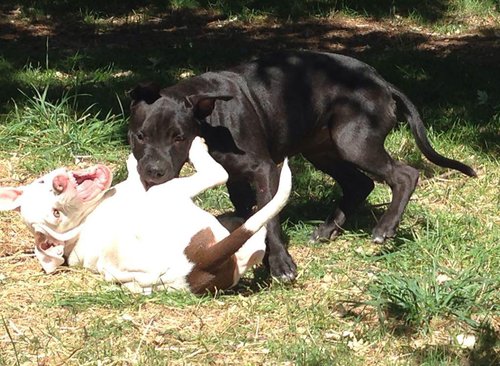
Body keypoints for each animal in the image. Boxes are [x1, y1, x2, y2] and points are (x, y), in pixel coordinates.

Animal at [0, 137, 292, 294]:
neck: (82, 224)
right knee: (219, 177)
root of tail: (199, 263)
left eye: (42, 183)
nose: (59, 183)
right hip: (168, 193)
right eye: (56, 214)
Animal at [127, 50, 474, 280]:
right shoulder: (236, 180)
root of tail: (381, 81)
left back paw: (385, 228)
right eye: (140, 135)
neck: (211, 119)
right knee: (360, 184)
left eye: (179, 137)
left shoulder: (265, 170)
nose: (153, 172)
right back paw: (327, 230)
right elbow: (248, 217)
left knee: (405, 174)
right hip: (322, 149)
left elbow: (269, 219)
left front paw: (280, 264)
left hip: (354, 143)